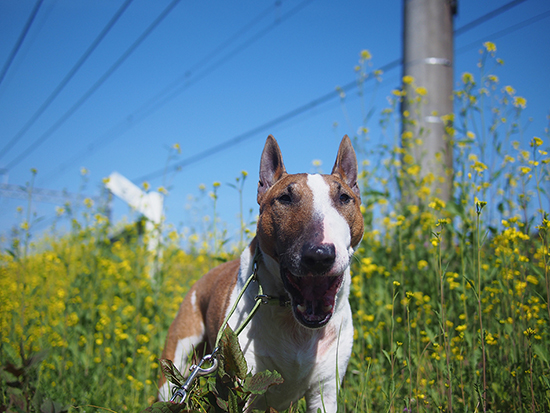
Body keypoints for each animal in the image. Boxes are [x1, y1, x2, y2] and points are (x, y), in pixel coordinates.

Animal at [160, 134, 366, 408]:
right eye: (285, 198)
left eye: (344, 198)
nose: (319, 255)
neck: (293, 321)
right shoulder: (242, 386)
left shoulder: (326, 390)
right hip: (176, 360)